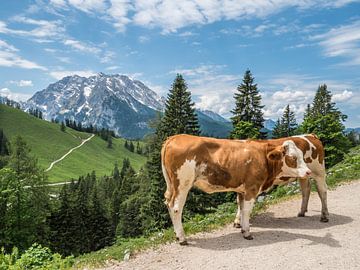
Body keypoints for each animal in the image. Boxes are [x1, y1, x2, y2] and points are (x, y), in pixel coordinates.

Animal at [160, 134, 326, 244]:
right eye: (292, 158)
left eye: (302, 156)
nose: (307, 171)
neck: (262, 156)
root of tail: (175, 137)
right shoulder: (252, 187)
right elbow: (246, 210)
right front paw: (247, 233)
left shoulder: (242, 189)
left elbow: (240, 206)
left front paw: (241, 228)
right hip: (182, 184)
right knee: (176, 207)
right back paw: (182, 238)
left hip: (171, 185)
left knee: (307, 190)